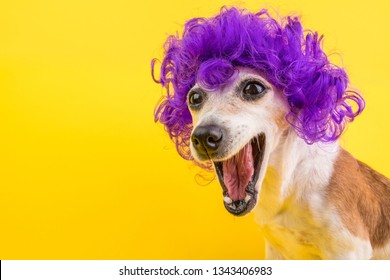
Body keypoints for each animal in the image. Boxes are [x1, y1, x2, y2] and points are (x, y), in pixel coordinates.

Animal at [151, 6, 388, 260]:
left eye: (253, 88)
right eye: (194, 97)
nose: (205, 137)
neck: (288, 185)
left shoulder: (348, 250)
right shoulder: (276, 251)